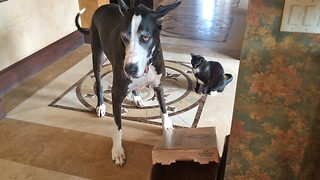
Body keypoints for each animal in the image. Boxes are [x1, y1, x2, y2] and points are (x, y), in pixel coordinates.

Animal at [74, 0, 180, 166]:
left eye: (145, 38)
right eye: (124, 37)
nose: (129, 68)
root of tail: (102, 7)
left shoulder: (159, 85)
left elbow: (163, 106)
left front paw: (167, 125)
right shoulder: (116, 93)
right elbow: (117, 125)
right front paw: (117, 150)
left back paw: (137, 97)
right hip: (97, 57)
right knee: (99, 83)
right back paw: (100, 105)